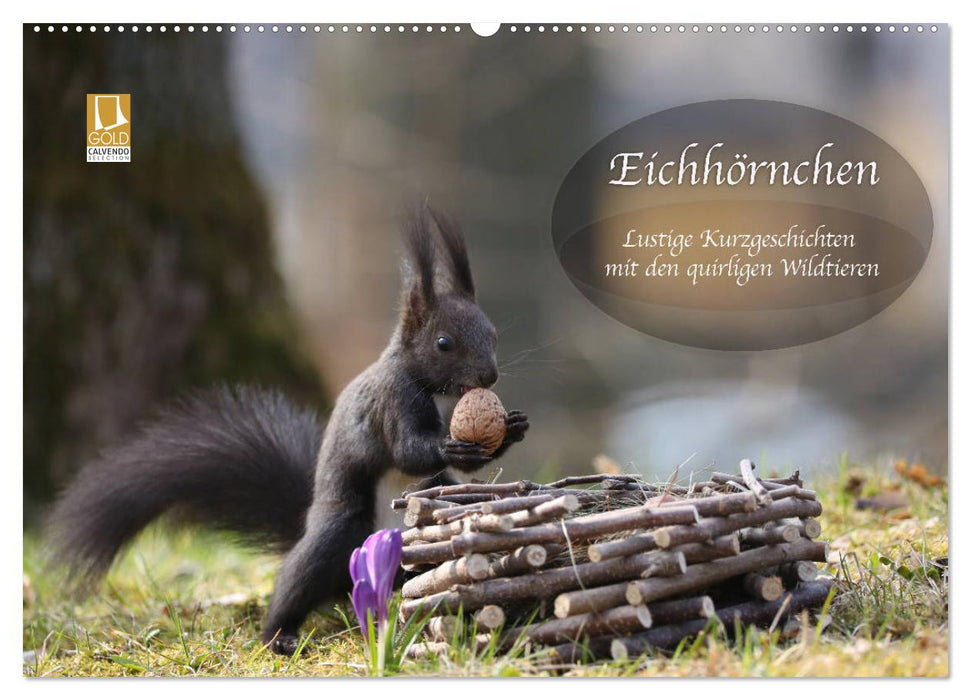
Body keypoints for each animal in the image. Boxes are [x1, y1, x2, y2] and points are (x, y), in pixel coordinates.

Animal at [46, 203, 530, 655]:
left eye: (493, 334)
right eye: (443, 343)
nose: (489, 377)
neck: (425, 383)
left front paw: (511, 430)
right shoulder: (391, 400)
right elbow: (408, 450)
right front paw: (454, 448)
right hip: (338, 532)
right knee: (297, 580)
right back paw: (280, 635)